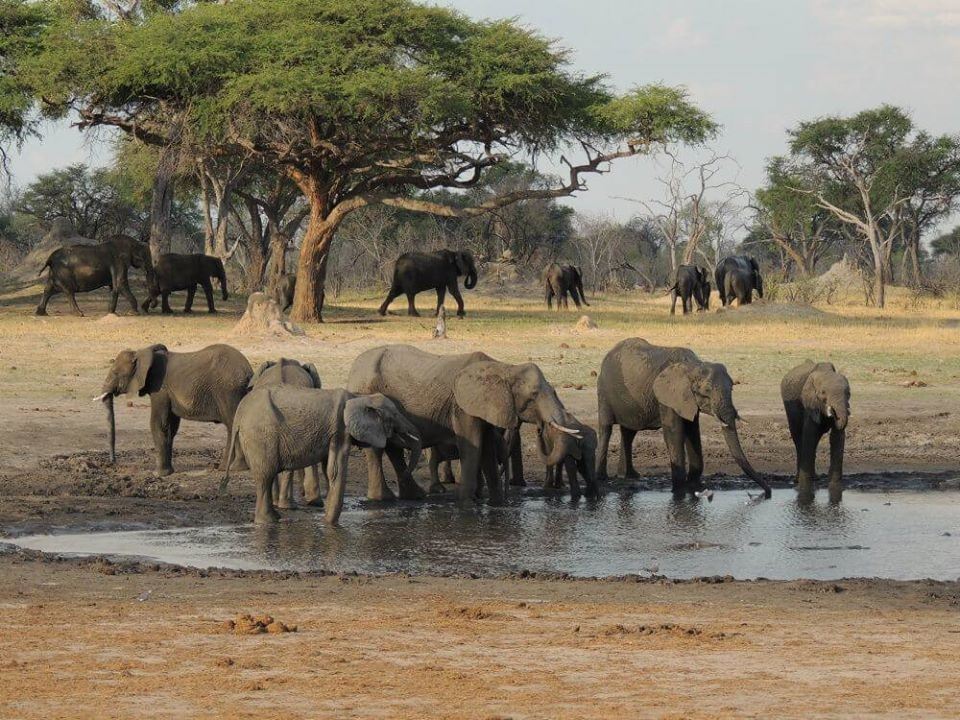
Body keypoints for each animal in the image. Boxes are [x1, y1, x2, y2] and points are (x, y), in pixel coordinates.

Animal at [95, 343, 253, 474]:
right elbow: (171, 426)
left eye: (115, 373)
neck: (141, 352)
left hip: (228, 391)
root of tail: (249, 371)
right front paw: (168, 472)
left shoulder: (160, 389)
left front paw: (159, 474)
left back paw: (236, 468)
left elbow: (159, 424)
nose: (113, 463)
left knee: (233, 424)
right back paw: (225, 468)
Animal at [221, 387, 421, 524]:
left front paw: (326, 522)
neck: (359, 397)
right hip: (261, 436)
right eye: (394, 416)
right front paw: (330, 525)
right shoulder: (340, 430)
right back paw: (268, 521)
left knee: (265, 477)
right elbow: (336, 470)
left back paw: (275, 518)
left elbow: (328, 470)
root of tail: (240, 413)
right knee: (265, 476)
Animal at [347, 344, 586, 504]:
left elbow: (487, 450)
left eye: (553, 390)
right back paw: (383, 500)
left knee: (393, 448)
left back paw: (413, 497)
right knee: (377, 449)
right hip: (367, 396)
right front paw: (467, 506)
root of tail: (355, 364)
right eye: (534, 395)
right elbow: (473, 447)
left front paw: (496, 505)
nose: (540, 427)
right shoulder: (463, 406)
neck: (504, 368)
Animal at [596, 338, 770, 498]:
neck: (693, 366)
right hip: (603, 390)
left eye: (732, 387)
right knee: (606, 429)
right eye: (707, 391)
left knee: (629, 433)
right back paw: (602, 478)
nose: (767, 493)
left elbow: (692, 431)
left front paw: (694, 486)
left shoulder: (688, 400)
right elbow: (674, 433)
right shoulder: (667, 396)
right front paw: (679, 491)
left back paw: (630, 476)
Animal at [781, 360, 850, 502]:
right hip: (790, 409)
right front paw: (805, 491)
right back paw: (799, 480)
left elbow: (837, 437)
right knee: (798, 438)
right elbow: (810, 436)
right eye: (823, 393)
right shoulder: (810, 404)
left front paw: (835, 491)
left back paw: (815, 478)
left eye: (849, 394)